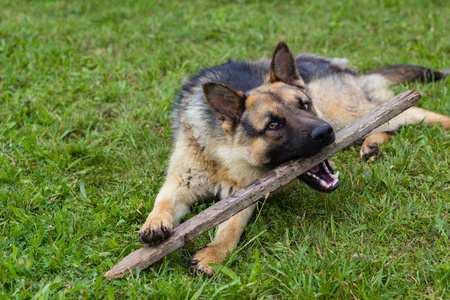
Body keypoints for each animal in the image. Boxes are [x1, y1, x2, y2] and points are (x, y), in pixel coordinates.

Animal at [138, 41, 450, 276]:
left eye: (305, 105)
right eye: (273, 125)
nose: (325, 133)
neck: (224, 156)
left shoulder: (243, 197)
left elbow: (230, 230)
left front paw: (212, 255)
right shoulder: (180, 181)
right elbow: (162, 203)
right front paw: (154, 224)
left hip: (345, 114)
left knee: (404, 112)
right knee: (384, 124)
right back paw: (372, 144)